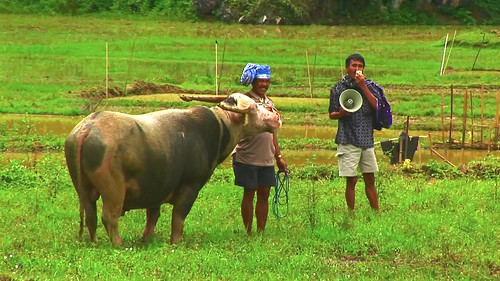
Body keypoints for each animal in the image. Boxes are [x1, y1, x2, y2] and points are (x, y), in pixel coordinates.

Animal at [64, 93, 282, 244]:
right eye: (253, 107)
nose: (277, 117)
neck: (220, 129)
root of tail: (87, 128)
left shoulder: (156, 188)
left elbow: (152, 217)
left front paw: (146, 239)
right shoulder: (190, 188)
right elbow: (178, 218)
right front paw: (174, 242)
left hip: (83, 189)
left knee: (90, 215)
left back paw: (94, 241)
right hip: (114, 190)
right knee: (109, 216)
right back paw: (118, 243)